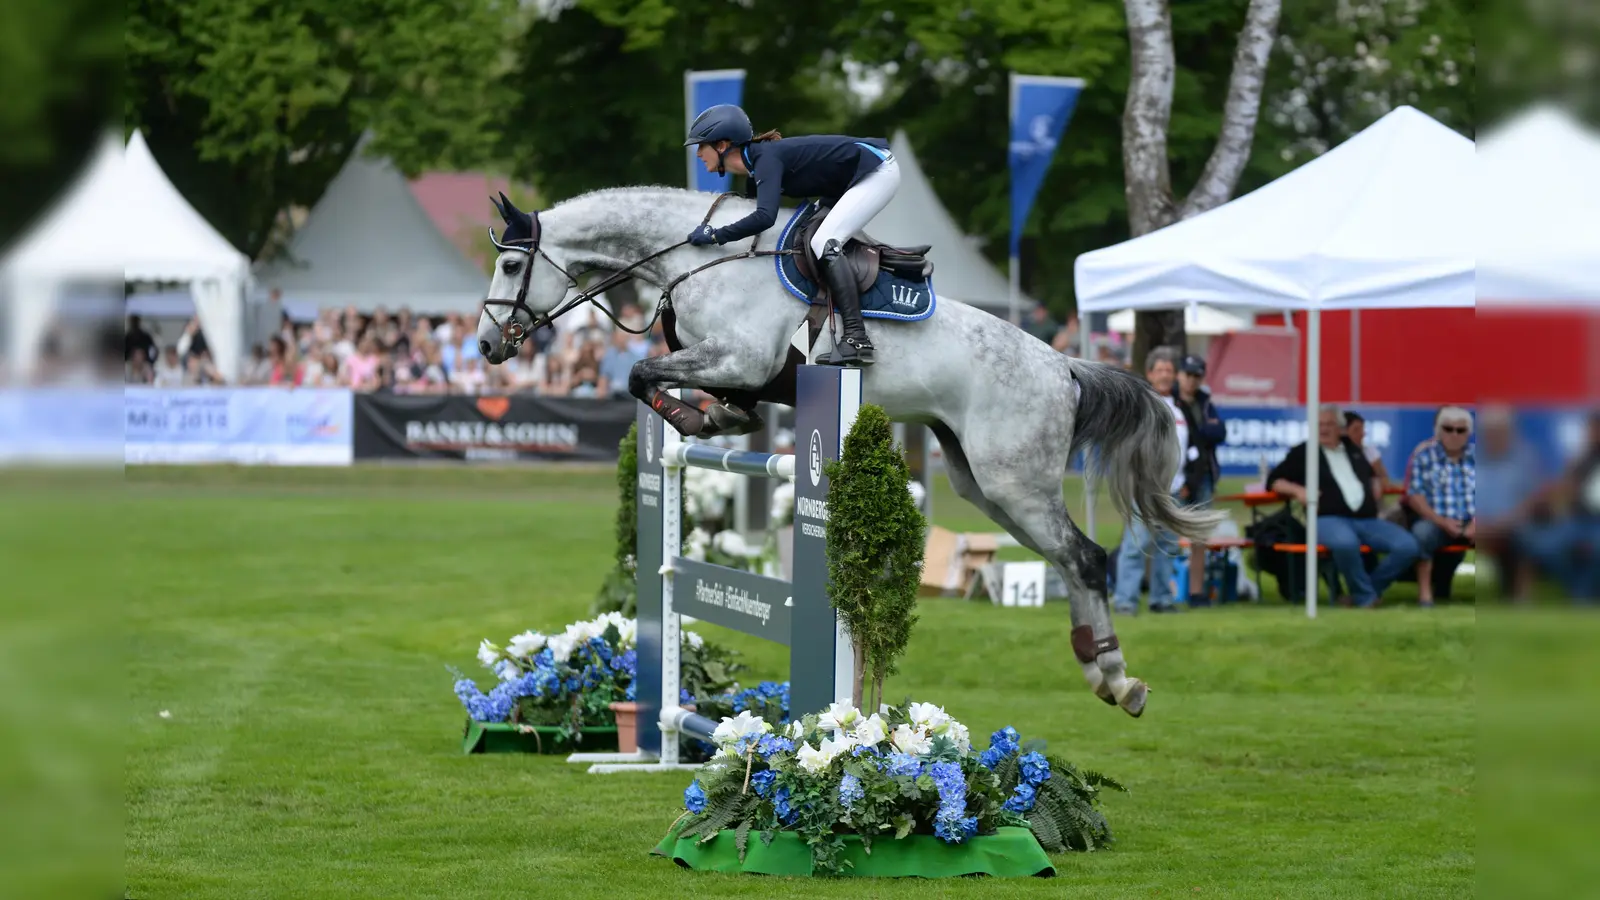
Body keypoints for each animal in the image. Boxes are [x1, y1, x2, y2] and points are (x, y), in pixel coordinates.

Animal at [473, 186, 1226, 718]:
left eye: (511, 263)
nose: (485, 346)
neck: (698, 259)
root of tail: (1063, 365)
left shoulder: (741, 358)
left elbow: (640, 374)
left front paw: (698, 417)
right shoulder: (729, 364)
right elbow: (658, 376)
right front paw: (716, 415)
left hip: (1014, 480)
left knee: (1087, 557)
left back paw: (1118, 678)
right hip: (983, 482)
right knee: (1069, 561)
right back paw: (1100, 670)